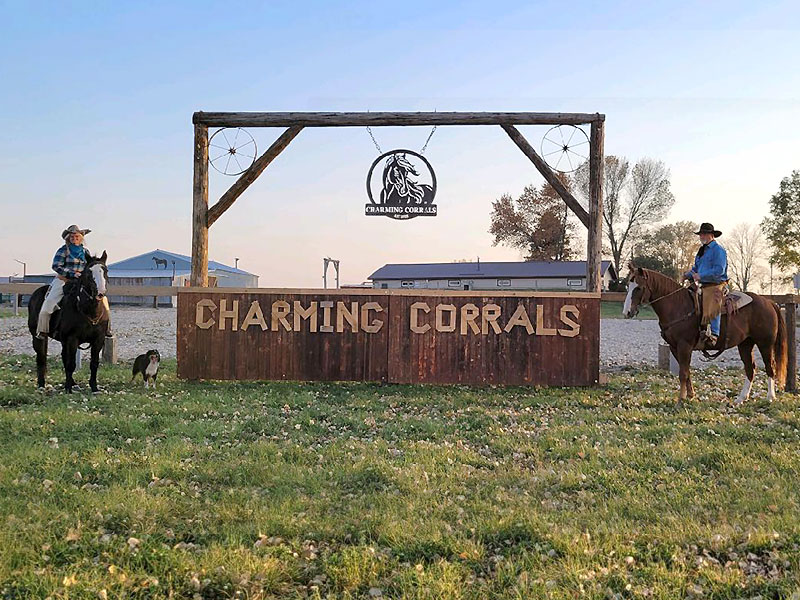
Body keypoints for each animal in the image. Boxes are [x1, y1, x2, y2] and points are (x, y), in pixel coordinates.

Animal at [27, 251, 110, 393]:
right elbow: (71, 364)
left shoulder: (98, 339)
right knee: (41, 358)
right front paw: (68, 389)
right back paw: (42, 385)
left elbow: (94, 364)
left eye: (105, 270)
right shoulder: (72, 338)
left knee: (63, 357)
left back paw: (73, 383)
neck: (88, 311)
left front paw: (94, 387)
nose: (100, 292)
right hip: (38, 337)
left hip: (63, 341)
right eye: (89, 272)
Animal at [623, 265, 787, 402]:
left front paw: (681, 400)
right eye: (628, 286)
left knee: (770, 366)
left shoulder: (684, 346)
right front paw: (690, 395)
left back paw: (770, 396)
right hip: (745, 344)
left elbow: (683, 373)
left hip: (765, 343)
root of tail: (769, 302)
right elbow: (686, 371)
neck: (678, 305)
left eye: (638, 288)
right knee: (750, 368)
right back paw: (741, 398)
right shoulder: (674, 347)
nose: (627, 312)